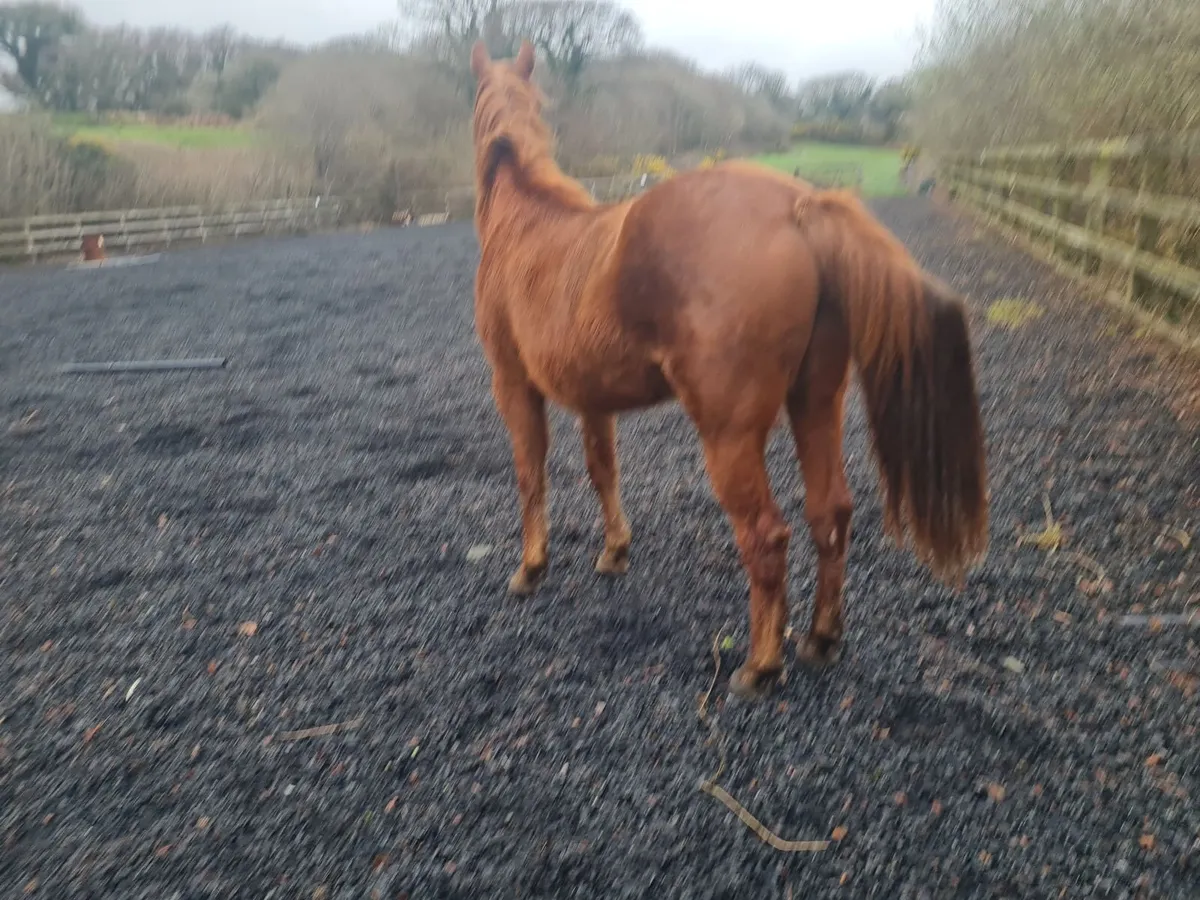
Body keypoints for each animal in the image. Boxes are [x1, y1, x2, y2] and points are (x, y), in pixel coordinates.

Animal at [468, 40, 989, 700]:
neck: (526, 224)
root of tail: (798, 207)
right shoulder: (594, 400)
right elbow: (602, 471)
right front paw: (614, 552)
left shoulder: (512, 384)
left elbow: (530, 474)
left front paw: (531, 567)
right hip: (816, 404)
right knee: (830, 514)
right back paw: (821, 639)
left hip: (730, 435)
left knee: (766, 535)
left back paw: (759, 666)